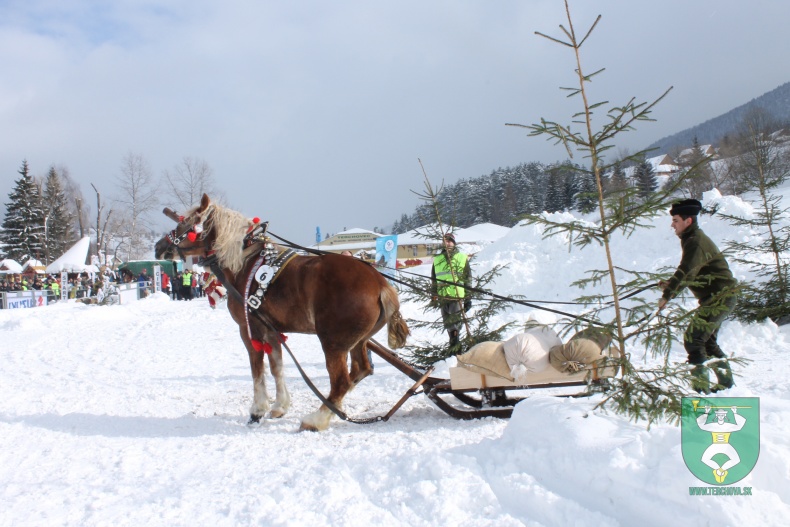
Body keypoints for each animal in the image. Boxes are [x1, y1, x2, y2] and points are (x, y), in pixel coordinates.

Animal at [156, 196, 414, 432]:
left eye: (186, 223)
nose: (159, 247)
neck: (244, 264)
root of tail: (380, 284)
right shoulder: (272, 330)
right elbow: (277, 367)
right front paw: (280, 406)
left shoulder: (248, 329)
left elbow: (257, 370)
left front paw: (257, 410)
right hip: (359, 341)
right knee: (360, 370)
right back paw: (332, 410)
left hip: (333, 342)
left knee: (341, 380)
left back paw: (317, 419)